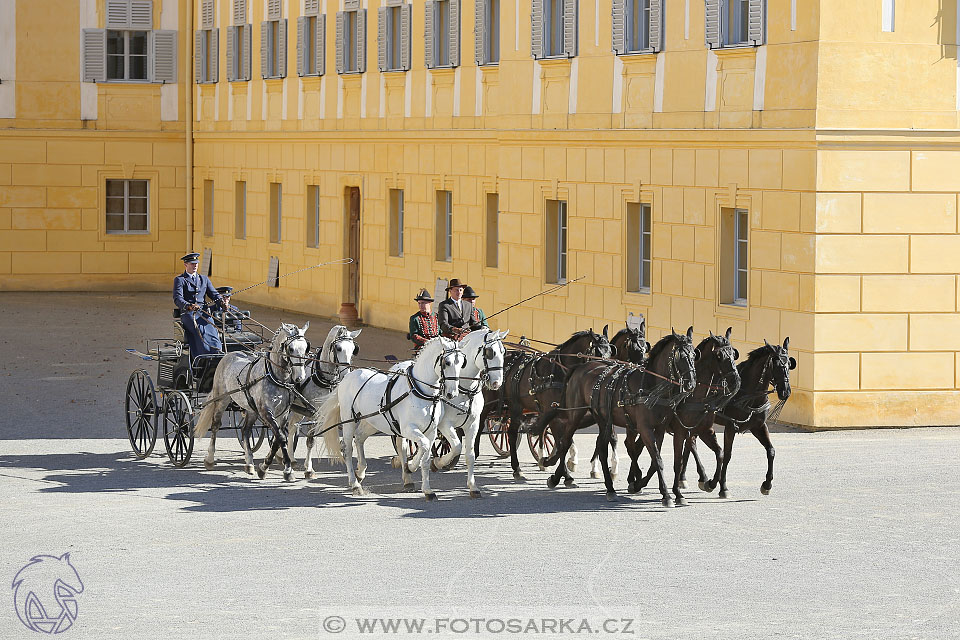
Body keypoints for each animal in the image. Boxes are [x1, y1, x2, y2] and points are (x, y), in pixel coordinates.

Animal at [195, 322, 312, 478]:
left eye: (306, 348)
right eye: (291, 348)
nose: (300, 377)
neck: (276, 376)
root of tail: (228, 355)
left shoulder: (283, 413)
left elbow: (278, 438)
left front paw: (264, 467)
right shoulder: (265, 411)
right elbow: (281, 437)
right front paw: (287, 469)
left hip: (251, 409)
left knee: (245, 430)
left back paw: (249, 463)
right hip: (222, 400)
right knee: (215, 426)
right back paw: (210, 459)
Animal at [284, 324, 362, 476]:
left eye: (353, 349)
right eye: (338, 348)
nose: (346, 374)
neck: (326, 379)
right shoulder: (315, 413)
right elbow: (310, 440)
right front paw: (309, 468)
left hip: (299, 408)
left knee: (291, 427)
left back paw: (291, 457)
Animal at [316, 338, 464, 502]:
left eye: (462, 363)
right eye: (447, 362)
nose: (452, 393)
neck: (420, 391)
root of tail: (349, 376)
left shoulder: (431, 431)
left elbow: (427, 457)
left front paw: (427, 489)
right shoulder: (408, 429)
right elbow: (423, 446)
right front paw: (410, 466)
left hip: (373, 421)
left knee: (359, 437)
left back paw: (360, 472)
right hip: (349, 419)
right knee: (347, 448)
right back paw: (355, 484)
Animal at [386, 330, 510, 500]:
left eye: (503, 352)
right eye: (490, 352)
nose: (497, 383)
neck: (464, 390)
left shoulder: (473, 424)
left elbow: (470, 455)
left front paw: (473, 487)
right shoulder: (445, 424)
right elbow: (456, 446)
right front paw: (438, 463)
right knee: (402, 446)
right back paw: (407, 472)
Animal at [476, 330, 612, 480]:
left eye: (611, 352)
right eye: (597, 352)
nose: (604, 376)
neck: (559, 371)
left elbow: (562, 439)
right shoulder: (552, 411)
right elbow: (560, 441)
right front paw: (560, 468)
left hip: (516, 406)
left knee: (511, 432)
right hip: (493, 404)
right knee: (484, 425)